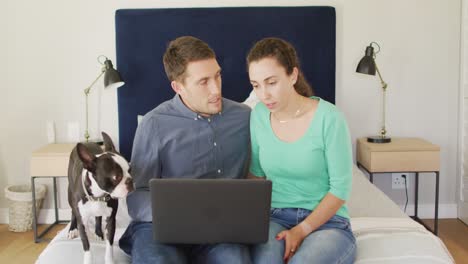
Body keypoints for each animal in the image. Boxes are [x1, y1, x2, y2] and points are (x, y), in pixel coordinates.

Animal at [66, 132, 134, 264]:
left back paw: (98, 232)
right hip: (70, 193)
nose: (130, 181)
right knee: (72, 211)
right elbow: (87, 247)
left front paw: (109, 261)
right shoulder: (82, 222)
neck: (98, 195)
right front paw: (88, 261)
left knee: (98, 217)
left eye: (130, 170)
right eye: (116, 177)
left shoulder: (111, 220)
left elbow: (109, 246)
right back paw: (72, 229)